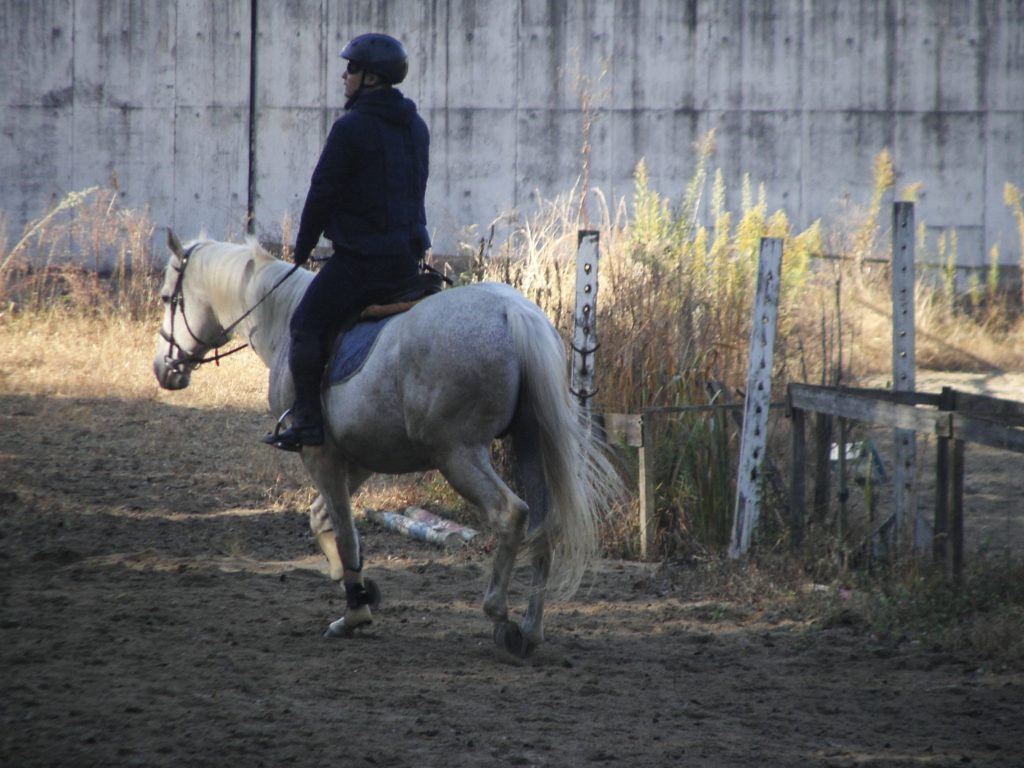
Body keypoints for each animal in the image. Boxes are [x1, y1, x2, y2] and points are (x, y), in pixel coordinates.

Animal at [152, 233, 620, 657]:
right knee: (544, 524)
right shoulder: (359, 459)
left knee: (511, 514)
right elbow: (323, 519)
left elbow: (344, 531)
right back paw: (530, 629)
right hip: (528, 444)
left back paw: (499, 614)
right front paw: (356, 587)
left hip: (458, 455)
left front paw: (355, 612)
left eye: (166, 297)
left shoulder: (319, 455)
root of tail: (512, 312)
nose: (163, 369)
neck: (280, 319)